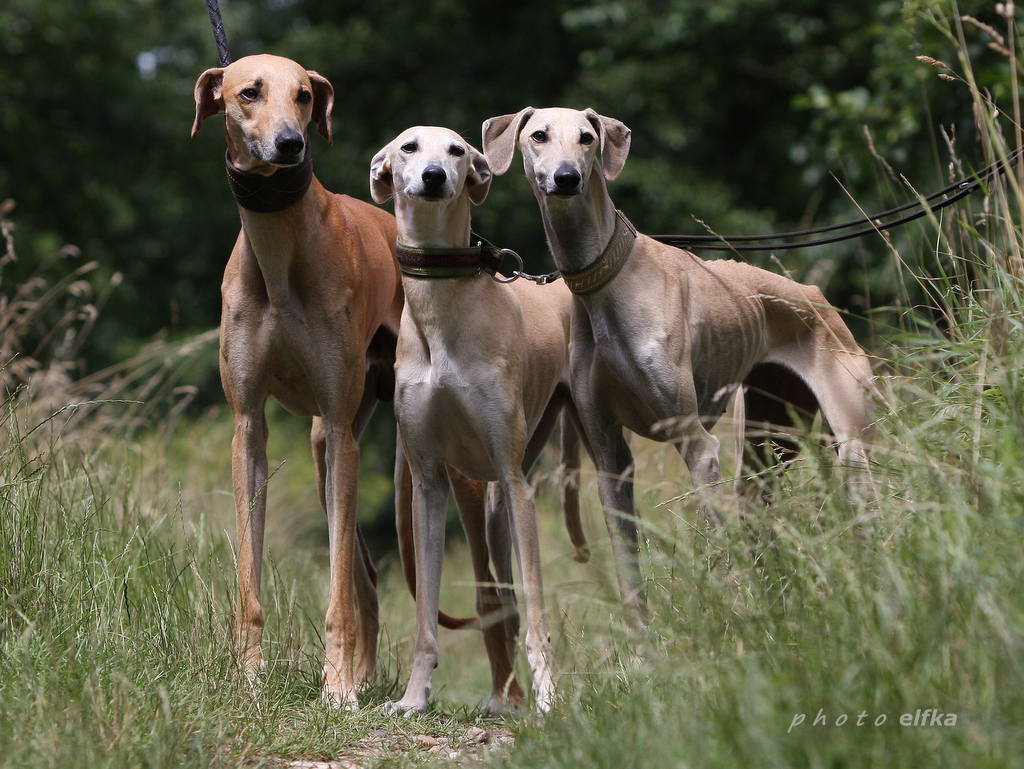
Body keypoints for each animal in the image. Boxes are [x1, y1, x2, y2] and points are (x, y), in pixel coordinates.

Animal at [372, 127, 589, 716]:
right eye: (408, 147)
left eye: (456, 151)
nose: (433, 178)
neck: (442, 311)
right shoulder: (427, 480)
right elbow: (427, 616)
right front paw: (413, 698)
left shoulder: (516, 483)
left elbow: (536, 612)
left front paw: (549, 698)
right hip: (488, 506)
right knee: (496, 594)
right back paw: (499, 697)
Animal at [483, 107, 876, 626]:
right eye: (539, 136)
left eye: (587, 138)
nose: (566, 178)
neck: (605, 280)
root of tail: (816, 297)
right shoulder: (610, 461)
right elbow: (631, 579)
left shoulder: (699, 446)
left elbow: (720, 556)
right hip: (765, 451)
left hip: (849, 443)